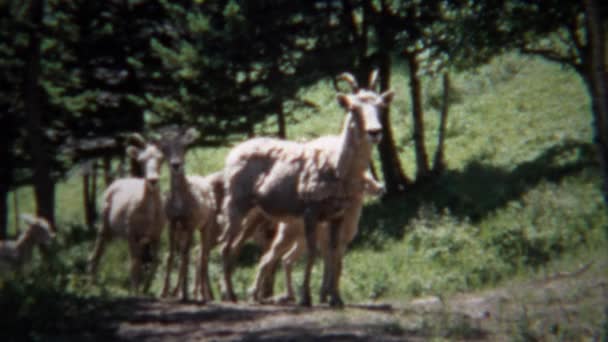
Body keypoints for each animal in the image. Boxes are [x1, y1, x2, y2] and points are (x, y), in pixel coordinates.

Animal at [86, 136, 165, 294]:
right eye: (141, 160)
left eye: (161, 158)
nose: (153, 180)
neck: (149, 215)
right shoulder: (131, 234)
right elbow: (134, 265)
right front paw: (135, 292)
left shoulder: (156, 235)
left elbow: (154, 262)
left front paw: (145, 289)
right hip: (105, 226)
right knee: (96, 253)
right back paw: (91, 286)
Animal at [218, 72, 394, 308]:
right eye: (353, 108)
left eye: (381, 106)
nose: (375, 132)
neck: (337, 168)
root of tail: (231, 155)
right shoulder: (310, 210)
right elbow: (312, 252)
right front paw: (306, 297)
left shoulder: (337, 214)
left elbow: (334, 253)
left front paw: (335, 298)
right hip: (236, 202)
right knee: (225, 245)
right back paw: (232, 294)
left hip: (255, 213)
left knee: (237, 246)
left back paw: (243, 294)